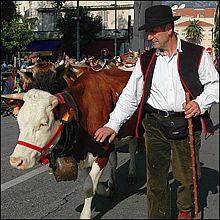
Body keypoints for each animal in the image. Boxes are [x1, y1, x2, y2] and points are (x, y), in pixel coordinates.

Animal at [2, 66, 139, 219]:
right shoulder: (83, 153)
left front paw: (85, 215)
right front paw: (107, 190)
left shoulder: (103, 150)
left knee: (132, 147)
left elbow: (89, 186)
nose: (16, 161)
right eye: (19, 120)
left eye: (43, 123)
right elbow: (91, 183)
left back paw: (132, 173)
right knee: (114, 160)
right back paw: (113, 182)